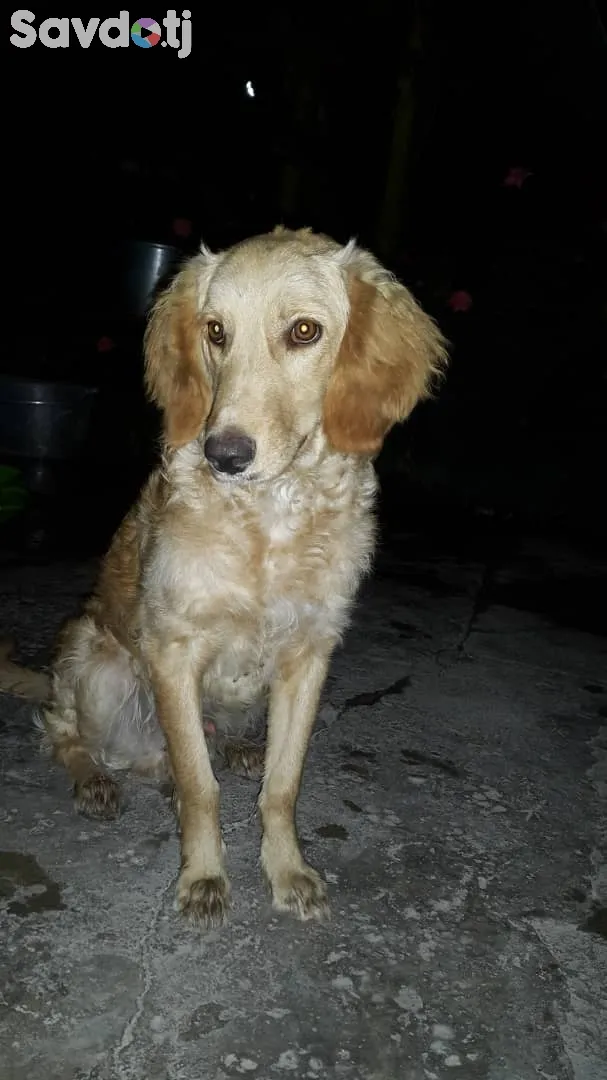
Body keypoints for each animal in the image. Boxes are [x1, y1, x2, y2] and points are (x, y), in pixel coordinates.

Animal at [39, 226, 448, 928]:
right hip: (96, 662)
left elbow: (282, 787)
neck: (269, 521)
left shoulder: (308, 655)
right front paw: (204, 877)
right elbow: (200, 789)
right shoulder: (173, 649)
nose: (223, 455)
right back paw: (94, 779)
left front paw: (286, 872)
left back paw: (240, 749)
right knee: (72, 734)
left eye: (305, 331)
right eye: (215, 332)